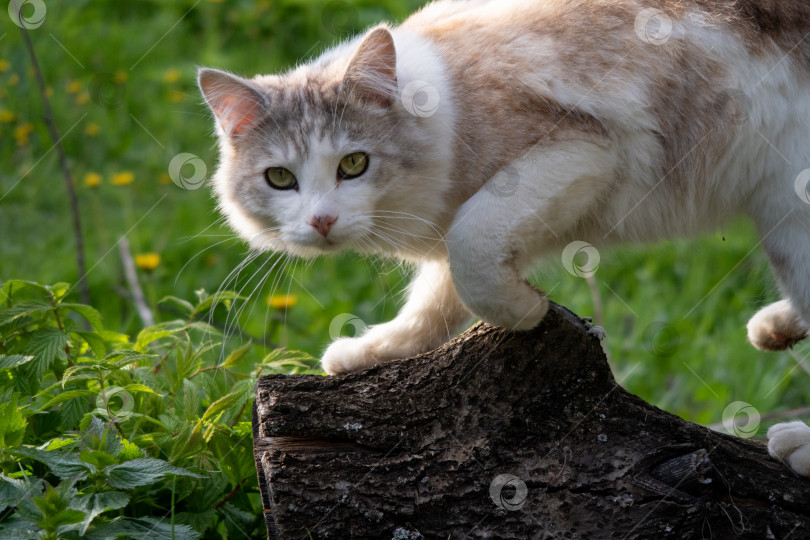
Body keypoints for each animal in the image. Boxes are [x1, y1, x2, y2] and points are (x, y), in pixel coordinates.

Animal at [196, 1, 808, 476]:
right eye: (280, 178)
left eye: (353, 164)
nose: (322, 220)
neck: (447, 109)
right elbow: (440, 296)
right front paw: (373, 351)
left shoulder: (583, 153)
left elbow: (472, 251)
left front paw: (529, 309)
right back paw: (779, 326)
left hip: (788, 206)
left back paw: (797, 441)